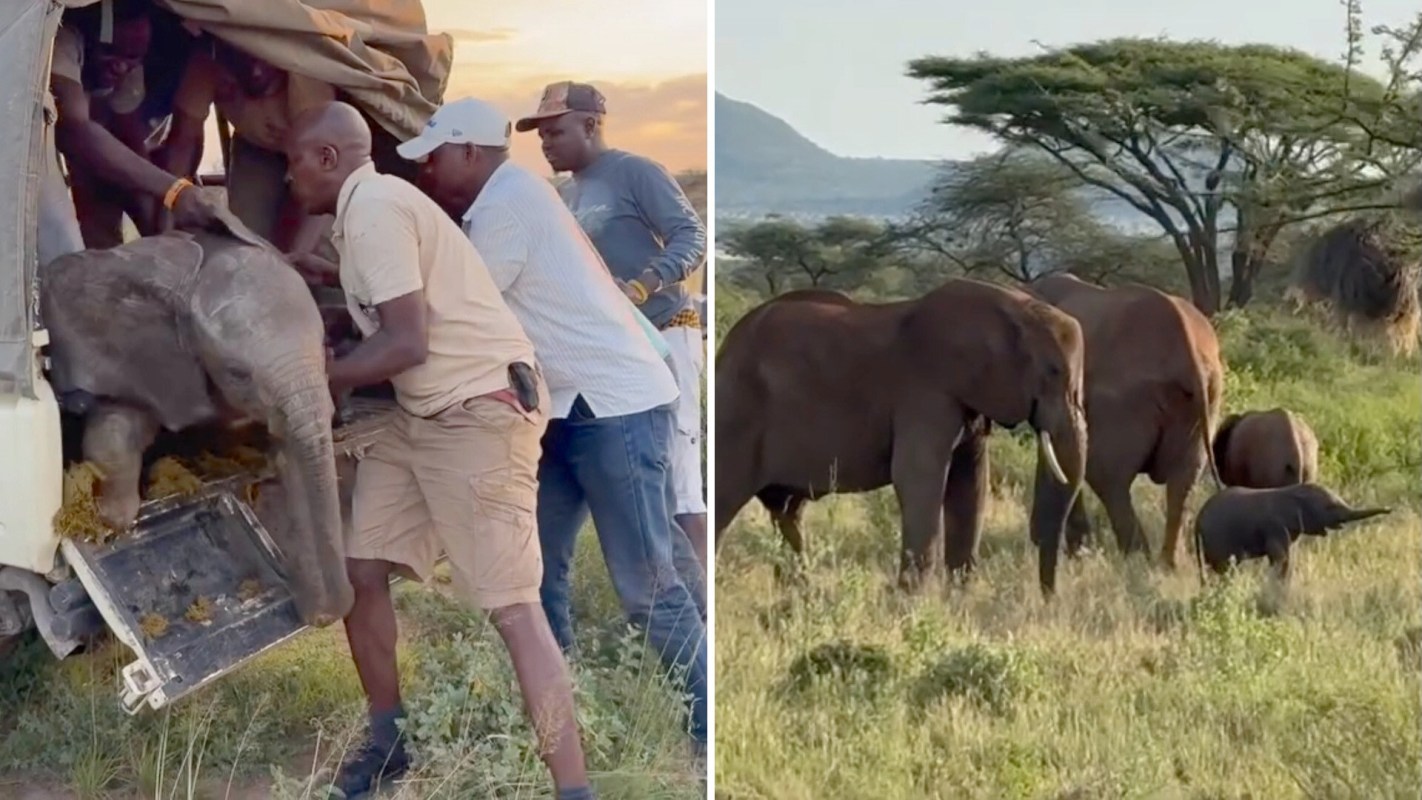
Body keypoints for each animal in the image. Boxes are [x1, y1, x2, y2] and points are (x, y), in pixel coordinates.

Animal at [714, 279, 1089, 595]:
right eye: (1053, 371)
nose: (1049, 598)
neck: (1014, 304)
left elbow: (971, 484)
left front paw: (958, 599)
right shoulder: (927, 393)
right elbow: (918, 477)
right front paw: (911, 602)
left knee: (788, 512)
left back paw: (801, 596)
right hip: (735, 415)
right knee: (724, 502)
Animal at [1024, 273, 1224, 569]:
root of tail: (1188, 349)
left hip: (1124, 400)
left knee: (1106, 475)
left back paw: (1136, 559)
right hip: (1205, 400)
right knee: (1184, 479)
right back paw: (1166, 564)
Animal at [1193, 483, 1389, 581]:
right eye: (1329, 507)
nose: (1389, 509)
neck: (1293, 490)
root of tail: (1197, 522)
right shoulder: (1275, 526)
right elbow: (1280, 558)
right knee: (1224, 567)